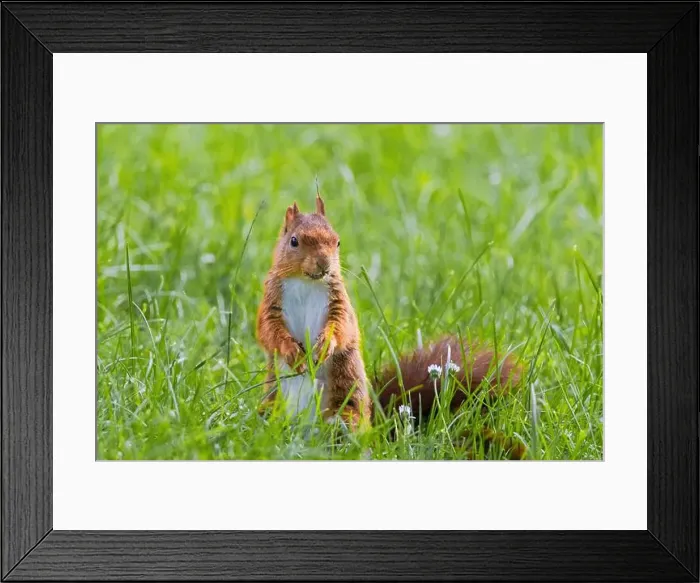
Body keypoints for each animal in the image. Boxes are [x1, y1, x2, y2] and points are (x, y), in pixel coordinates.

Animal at [256, 194, 525, 458]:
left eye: (337, 242)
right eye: (294, 241)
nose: (324, 263)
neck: (306, 282)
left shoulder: (339, 303)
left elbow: (342, 326)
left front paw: (325, 344)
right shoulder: (271, 301)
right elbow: (268, 330)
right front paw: (291, 351)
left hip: (346, 402)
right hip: (273, 401)